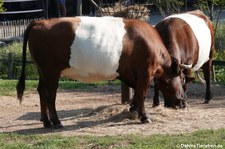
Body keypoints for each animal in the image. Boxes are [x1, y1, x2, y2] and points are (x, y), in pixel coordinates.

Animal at [17, 16, 186, 128]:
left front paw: (133, 109)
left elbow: (137, 96)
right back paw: (56, 122)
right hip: (51, 70)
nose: (183, 103)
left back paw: (46, 121)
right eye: (182, 79)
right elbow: (141, 94)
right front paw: (144, 117)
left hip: (42, 70)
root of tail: (41, 21)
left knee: (41, 91)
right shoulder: (145, 73)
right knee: (50, 93)